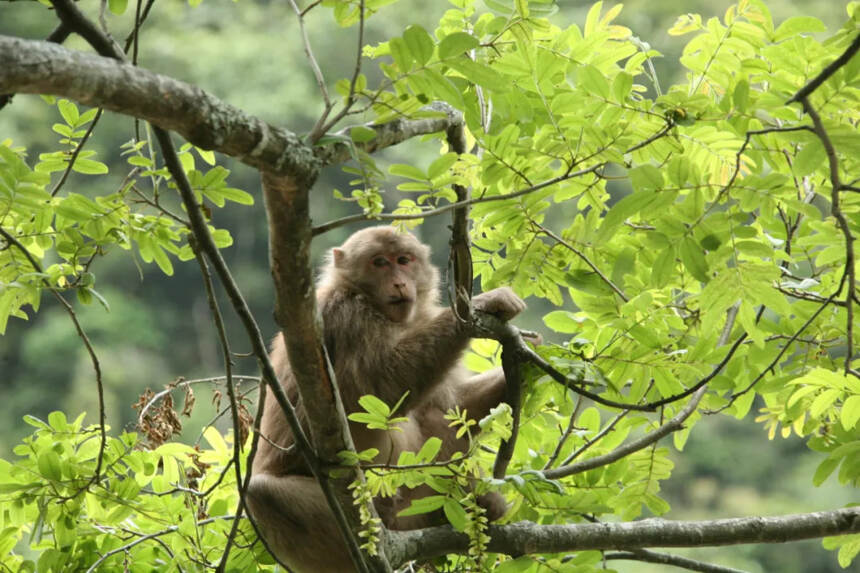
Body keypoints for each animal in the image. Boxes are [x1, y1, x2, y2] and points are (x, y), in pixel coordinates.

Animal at [245, 226, 528, 568]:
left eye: (403, 260)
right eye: (379, 262)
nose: (399, 282)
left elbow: (451, 406)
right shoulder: (349, 316)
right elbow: (380, 387)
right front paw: (482, 304)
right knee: (262, 492)